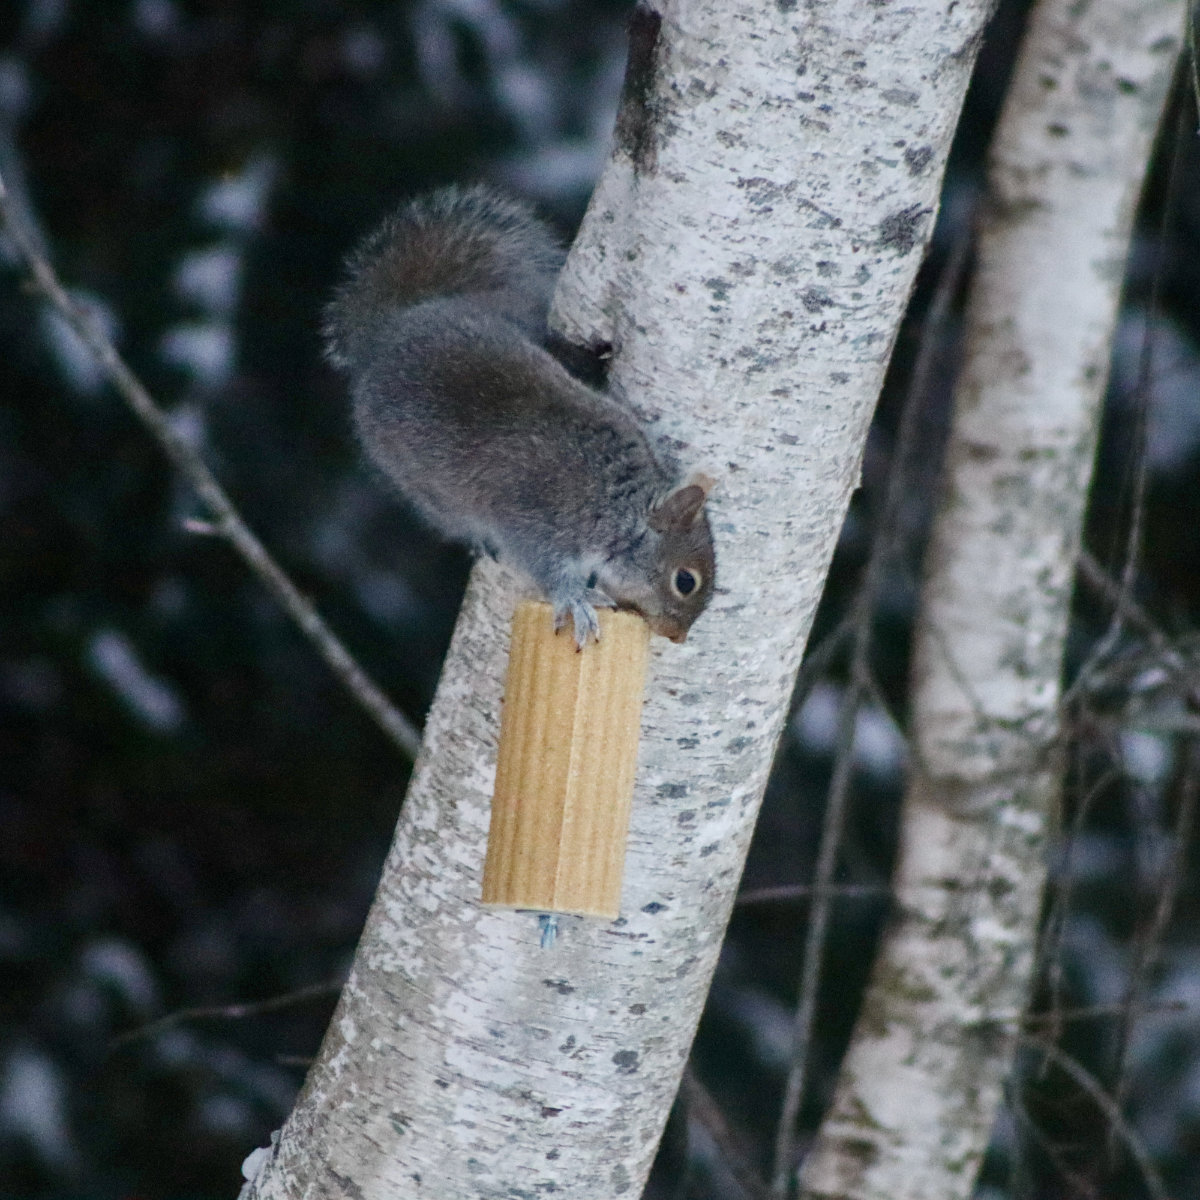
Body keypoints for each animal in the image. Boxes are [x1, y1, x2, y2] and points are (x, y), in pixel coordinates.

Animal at [321, 183, 710, 648]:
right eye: (685, 581)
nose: (678, 637)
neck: (617, 501)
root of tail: (386, 333)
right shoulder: (536, 521)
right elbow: (544, 564)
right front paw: (576, 598)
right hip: (422, 488)